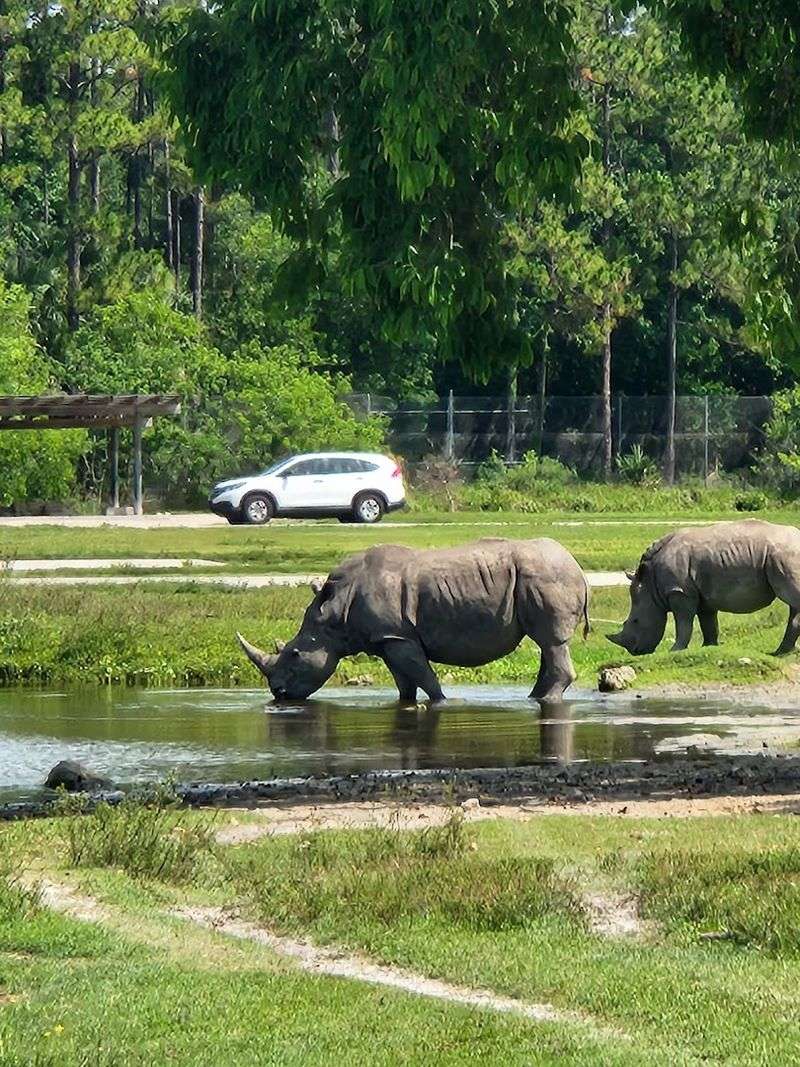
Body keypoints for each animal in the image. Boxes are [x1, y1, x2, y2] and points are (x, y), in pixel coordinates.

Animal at [237, 538, 590, 704]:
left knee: (552, 641)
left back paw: (546, 700)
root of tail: (578, 568)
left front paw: (444, 701)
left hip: (546, 576)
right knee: (548, 644)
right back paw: (534, 698)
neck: (335, 612)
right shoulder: (386, 639)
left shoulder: (398, 636)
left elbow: (425, 678)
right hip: (542, 576)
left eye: (294, 654)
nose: (278, 693)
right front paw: (407, 702)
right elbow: (404, 683)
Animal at [608, 519, 800, 656]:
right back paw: (781, 653)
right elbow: (708, 622)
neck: (650, 583)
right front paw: (709, 647)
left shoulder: (679, 592)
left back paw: (781, 653)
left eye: (635, 621)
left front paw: (675, 650)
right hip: (784, 556)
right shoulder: (704, 596)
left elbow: (683, 623)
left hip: (784, 556)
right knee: (794, 604)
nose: (635, 652)